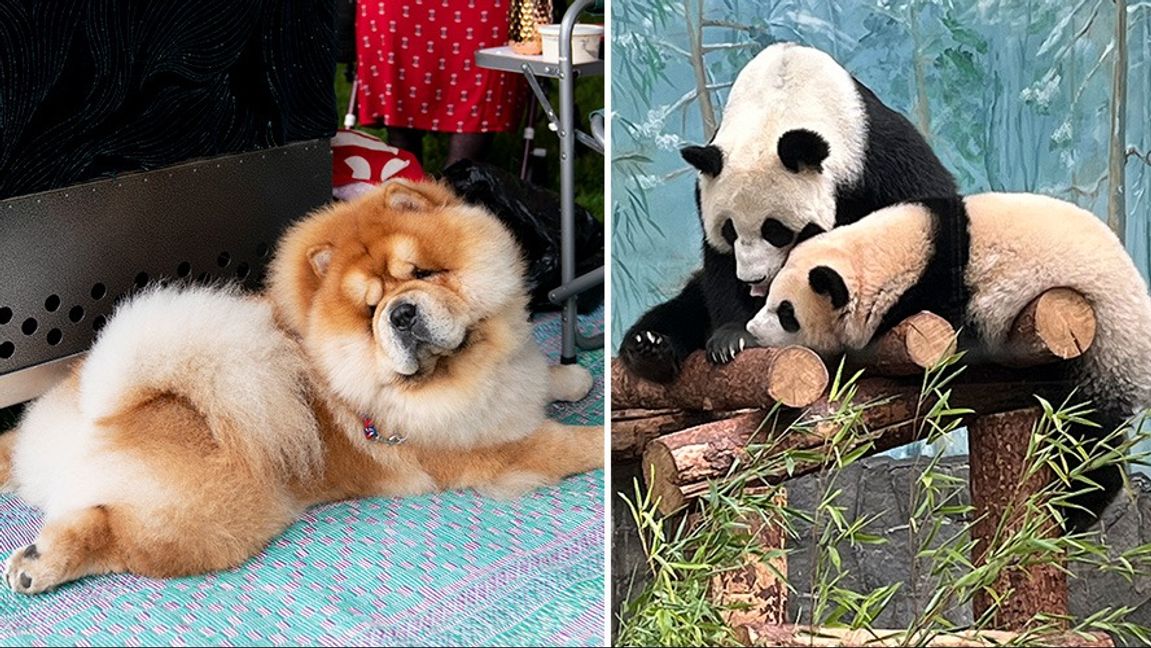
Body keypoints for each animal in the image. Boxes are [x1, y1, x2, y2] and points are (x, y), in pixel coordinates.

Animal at [0, 179, 603, 593]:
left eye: (423, 274)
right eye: (369, 312)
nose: (401, 313)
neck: (467, 366)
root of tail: (107, 409)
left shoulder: (512, 380)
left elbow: (542, 374)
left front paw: (573, 375)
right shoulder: (496, 450)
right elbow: (568, 443)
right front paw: (599, 437)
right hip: (212, 519)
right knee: (115, 533)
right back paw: (40, 566)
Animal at [621, 41, 953, 384]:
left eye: (775, 230)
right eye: (729, 230)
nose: (753, 279)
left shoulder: (877, 154)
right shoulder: (707, 192)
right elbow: (719, 265)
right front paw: (733, 338)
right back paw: (650, 346)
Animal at [745, 192, 1151, 531]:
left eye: (786, 313)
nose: (753, 329)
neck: (891, 255)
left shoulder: (946, 296)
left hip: (1102, 346)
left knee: (1086, 434)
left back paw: (1076, 508)